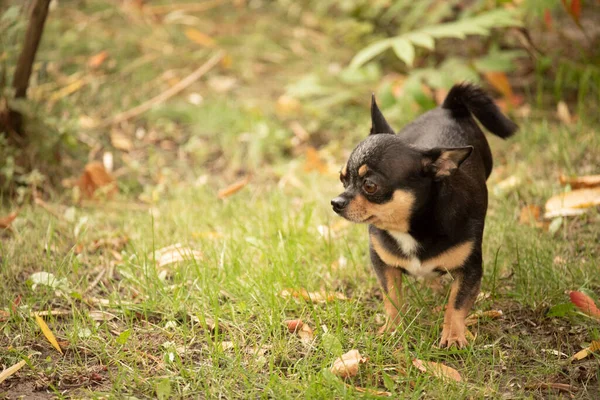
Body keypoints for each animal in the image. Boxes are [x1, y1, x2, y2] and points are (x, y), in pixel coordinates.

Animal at [330, 83, 516, 346]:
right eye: (342, 178)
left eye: (370, 186)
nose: (336, 202)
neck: (410, 227)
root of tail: (448, 107)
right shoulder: (384, 264)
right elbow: (392, 297)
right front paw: (393, 328)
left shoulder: (470, 270)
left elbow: (457, 303)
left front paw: (454, 336)